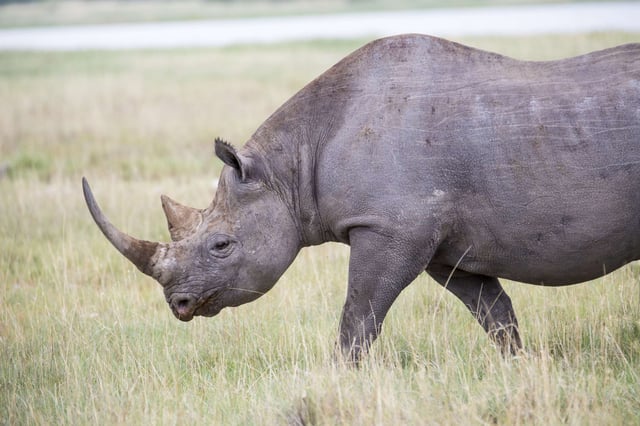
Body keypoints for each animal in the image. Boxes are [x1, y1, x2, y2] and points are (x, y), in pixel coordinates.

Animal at [83, 34, 640, 360]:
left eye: (221, 245)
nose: (178, 304)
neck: (289, 167)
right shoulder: (444, 247)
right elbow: (496, 315)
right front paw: (519, 368)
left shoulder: (390, 226)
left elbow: (359, 314)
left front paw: (340, 378)